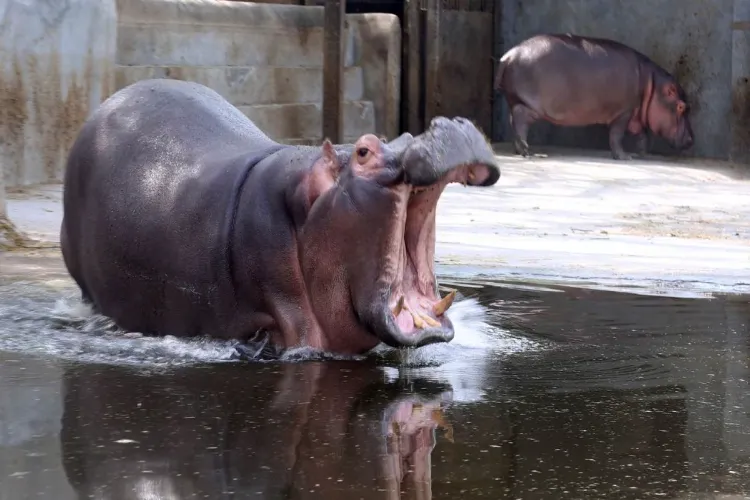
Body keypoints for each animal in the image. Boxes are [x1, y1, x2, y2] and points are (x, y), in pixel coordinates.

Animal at [494, 33, 694, 160]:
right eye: (681, 106)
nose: (691, 140)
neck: (651, 85)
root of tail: (508, 56)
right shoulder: (624, 112)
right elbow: (616, 135)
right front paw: (625, 157)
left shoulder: (635, 114)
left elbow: (642, 134)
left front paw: (641, 154)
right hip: (531, 106)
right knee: (520, 121)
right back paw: (528, 152)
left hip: (514, 99)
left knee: (514, 121)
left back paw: (520, 150)